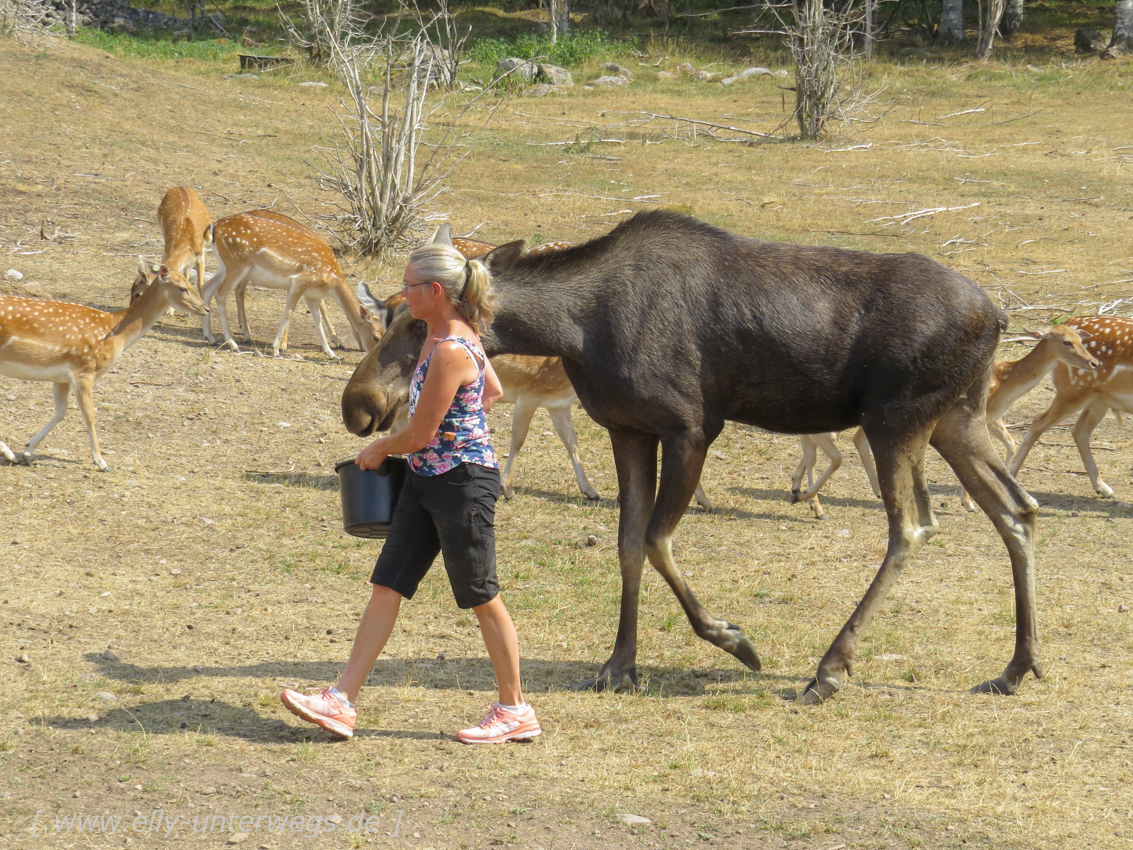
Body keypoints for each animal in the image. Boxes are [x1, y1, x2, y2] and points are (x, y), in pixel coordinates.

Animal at [1, 261, 209, 473]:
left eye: (190, 283)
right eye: (182, 288)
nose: (206, 308)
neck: (115, 332)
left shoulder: (61, 377)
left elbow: (60, 413)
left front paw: (28, 452)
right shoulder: (84, 370)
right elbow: (90, 414)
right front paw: (101, 462)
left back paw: (12, 454)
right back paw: (9, 454)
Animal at [202, 214, 380, 360]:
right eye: (376, 336)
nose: (370, 353)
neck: (332, 279)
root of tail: (215, 226)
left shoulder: (311, 293)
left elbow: (317, 318)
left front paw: (331, 353)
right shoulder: (300, 281)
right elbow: (288, 312)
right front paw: (276, 349)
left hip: (224, 266)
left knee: (207, 289)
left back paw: (210, 338)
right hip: (237, 263)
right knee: (221, 294)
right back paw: (233, 344)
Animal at [1010, 317, 1133, 496]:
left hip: (1098, 398)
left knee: (1079, 430)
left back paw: (1103, 488)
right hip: (1073, 390)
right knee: (1039, 420)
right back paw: (1011, 477)